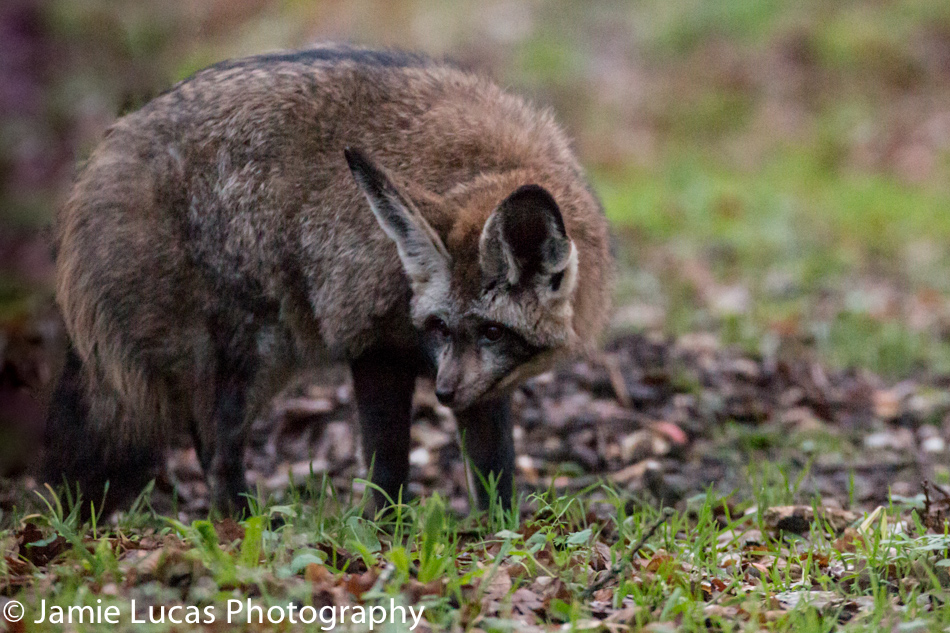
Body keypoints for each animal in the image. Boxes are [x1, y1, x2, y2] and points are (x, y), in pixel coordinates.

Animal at [43, 44, 612, 516]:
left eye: (492, 332)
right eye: (440, 327)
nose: (444, 393)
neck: (477, 167)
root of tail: (100, 160)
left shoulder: (482, 385)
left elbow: (495, 471)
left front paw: (499, 534)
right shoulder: (372, 343)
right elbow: (388, 466)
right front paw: (385, 532)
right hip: (251, 360)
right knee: (215, 452)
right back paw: (242, 529)